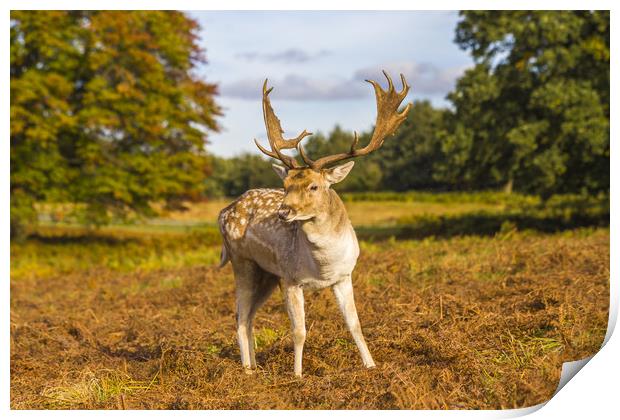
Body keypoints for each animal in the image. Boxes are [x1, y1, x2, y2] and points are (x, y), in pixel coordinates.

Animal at [218, 70, 412, 376]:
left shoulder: (344, 276)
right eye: (285, 185)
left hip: (267, 274)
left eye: (314, 186)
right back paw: (247, 370)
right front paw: (297, 375)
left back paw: (257, 366)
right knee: (239, 314)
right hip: (242, 262)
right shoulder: (290, 279)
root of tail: (224, 212)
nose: (284, 212)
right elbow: (299, 331)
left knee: (249, 315)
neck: (323, 266)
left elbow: (355, 324)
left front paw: (371, 366)